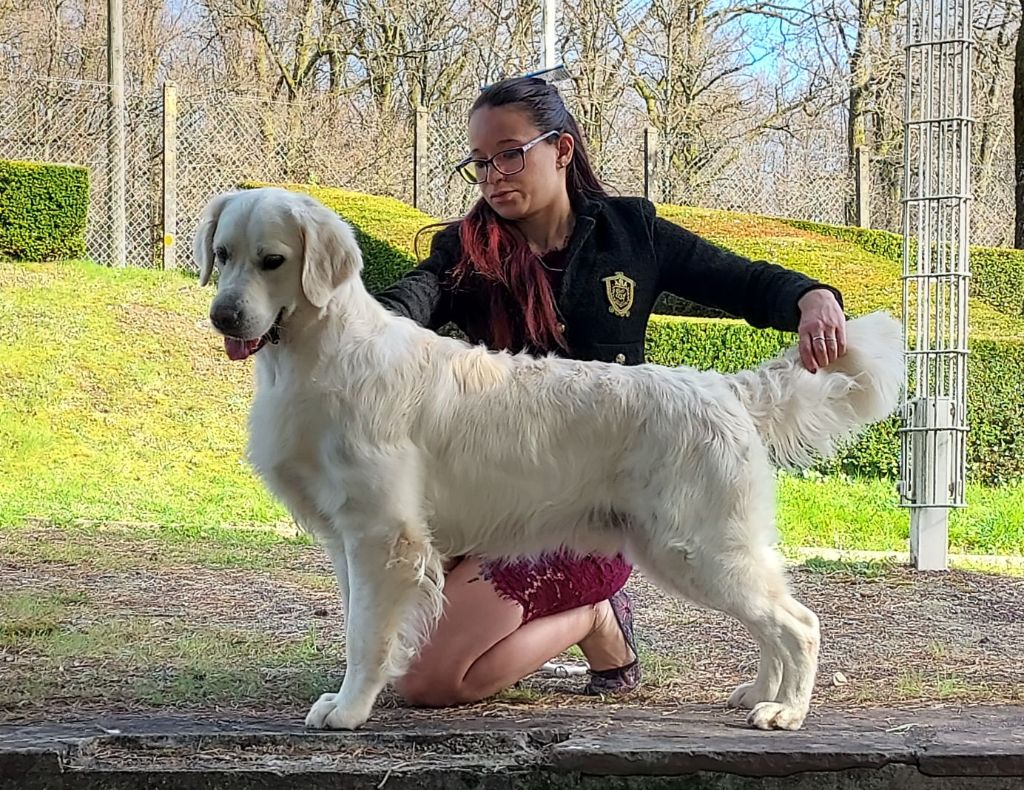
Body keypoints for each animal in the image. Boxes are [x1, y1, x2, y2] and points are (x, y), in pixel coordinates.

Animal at [193, 188, 905, 733]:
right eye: (223, 256)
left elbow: (367, 635)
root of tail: (723, 386)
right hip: (693, 550)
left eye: (274, 261)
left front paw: (348, 710)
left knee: (798, 622)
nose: (223, 315)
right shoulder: (350, 539)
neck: (320, 355)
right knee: (772, 621)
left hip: (698, 547)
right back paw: (761, 693)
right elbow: (359, 623)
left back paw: (787, 712)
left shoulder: (383, 538)